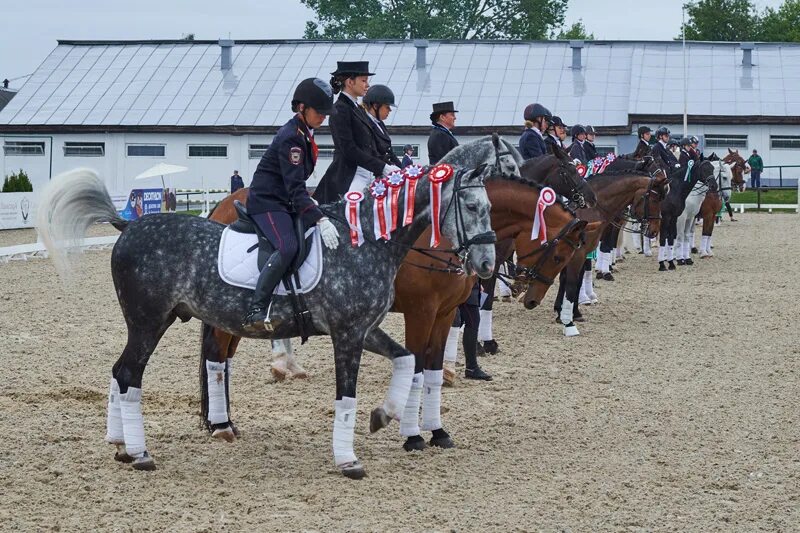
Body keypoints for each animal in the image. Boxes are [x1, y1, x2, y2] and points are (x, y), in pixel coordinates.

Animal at [197, 134, 592, 454]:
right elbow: (416, 366)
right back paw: (225, 420)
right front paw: (413, 435)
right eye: (560, 255)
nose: (530, 297)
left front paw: (437, 430)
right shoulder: (421, 311)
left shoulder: (444, 312)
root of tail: (225, 203)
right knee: (217, 354)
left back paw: (227, 417)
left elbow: (432, 368)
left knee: (224, 355)